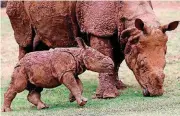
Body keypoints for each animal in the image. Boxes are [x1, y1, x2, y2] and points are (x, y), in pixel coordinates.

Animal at [5, 1, 179, 98]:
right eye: (141, 65)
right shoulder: (99, 28)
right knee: (25, 39)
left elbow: (115, 60)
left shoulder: (123, 35)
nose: (156, 93)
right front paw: (108, 96)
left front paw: (119, 86)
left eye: (165, 63)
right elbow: (106, 55)